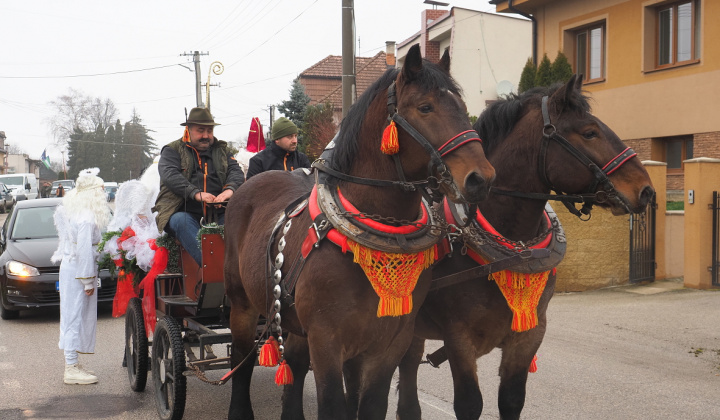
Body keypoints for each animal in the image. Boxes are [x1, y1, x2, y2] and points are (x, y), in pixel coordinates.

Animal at [224, 43, 496, 420]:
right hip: (242, 304)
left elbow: (372, 404)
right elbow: (333, 405)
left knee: (294, 363)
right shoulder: (326, 341)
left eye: (461, 105)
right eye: (425, 107)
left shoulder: (389, 342)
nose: (480, 178)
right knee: (241, 361)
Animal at [396, 75, 656, 420]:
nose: (646, 190)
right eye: (590, 132)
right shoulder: (459, 339)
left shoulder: (529, 334)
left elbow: (511, 400)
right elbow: (469, 403)